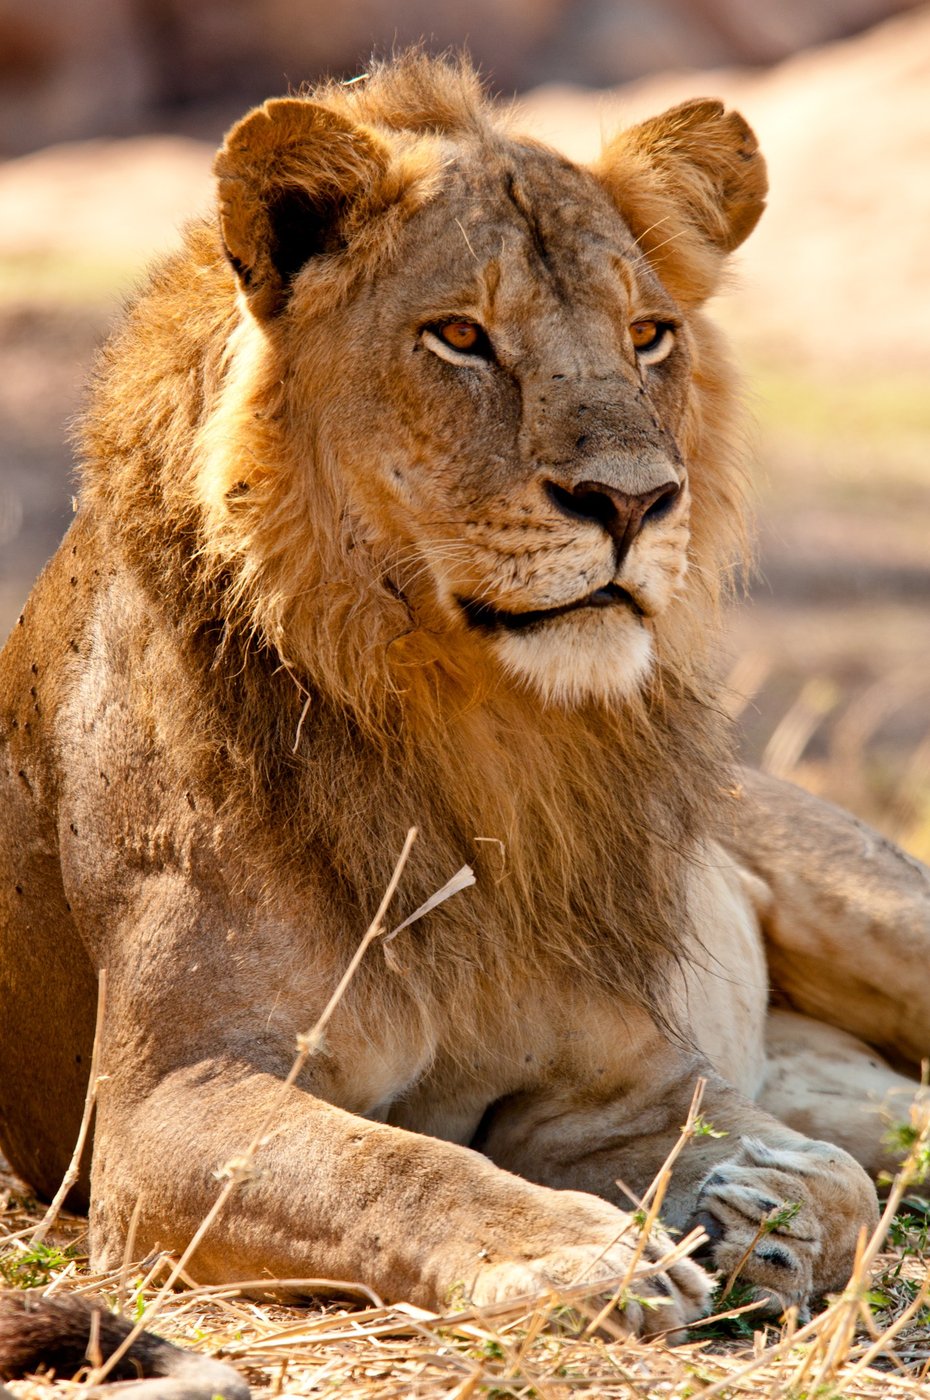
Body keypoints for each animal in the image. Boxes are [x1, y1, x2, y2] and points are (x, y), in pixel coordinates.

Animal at [1, 53, 929, 1350]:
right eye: (459, 335)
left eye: (649, 335)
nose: (633, 500)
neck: (478, 726)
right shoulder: (164, 1107)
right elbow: (395, 1166)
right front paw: (583, 1254)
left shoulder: (614, 1088)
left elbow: (808, 1172)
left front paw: (758, 1209)